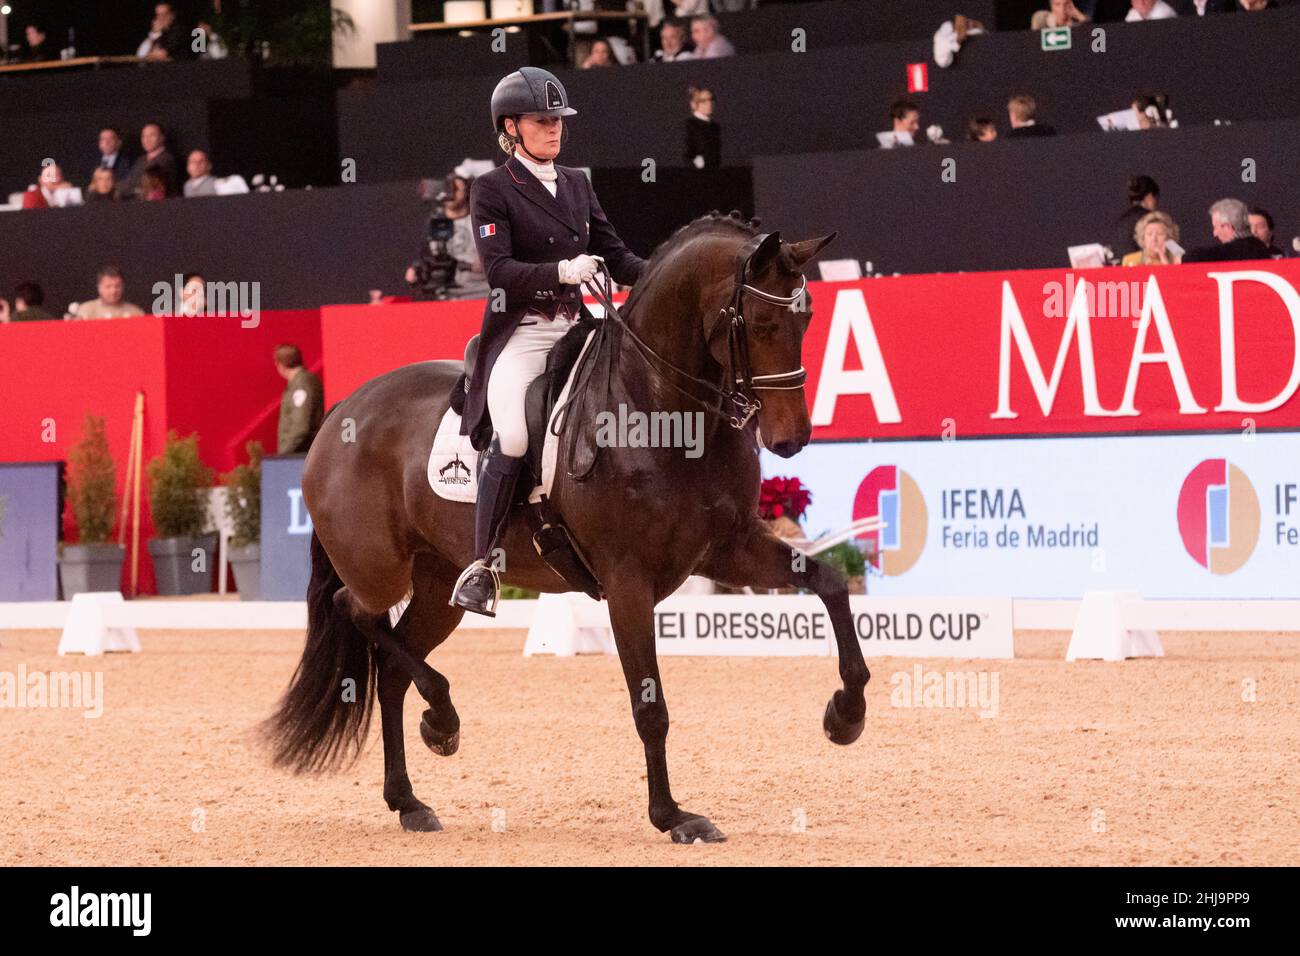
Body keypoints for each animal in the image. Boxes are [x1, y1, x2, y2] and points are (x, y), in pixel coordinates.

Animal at [265, 210, 868, 842]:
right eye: (761, 321)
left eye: (806, 318)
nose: (792, 439)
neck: (662, 406)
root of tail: (341, 413)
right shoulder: (628, 582)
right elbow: (650, 707)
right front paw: (672, 816)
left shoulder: (728, 548)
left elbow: (829, 583)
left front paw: (845, 715)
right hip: (378, 569)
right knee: (353, 611)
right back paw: (442, 721)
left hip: (438, 584)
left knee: (392, 666)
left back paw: (410, 797)